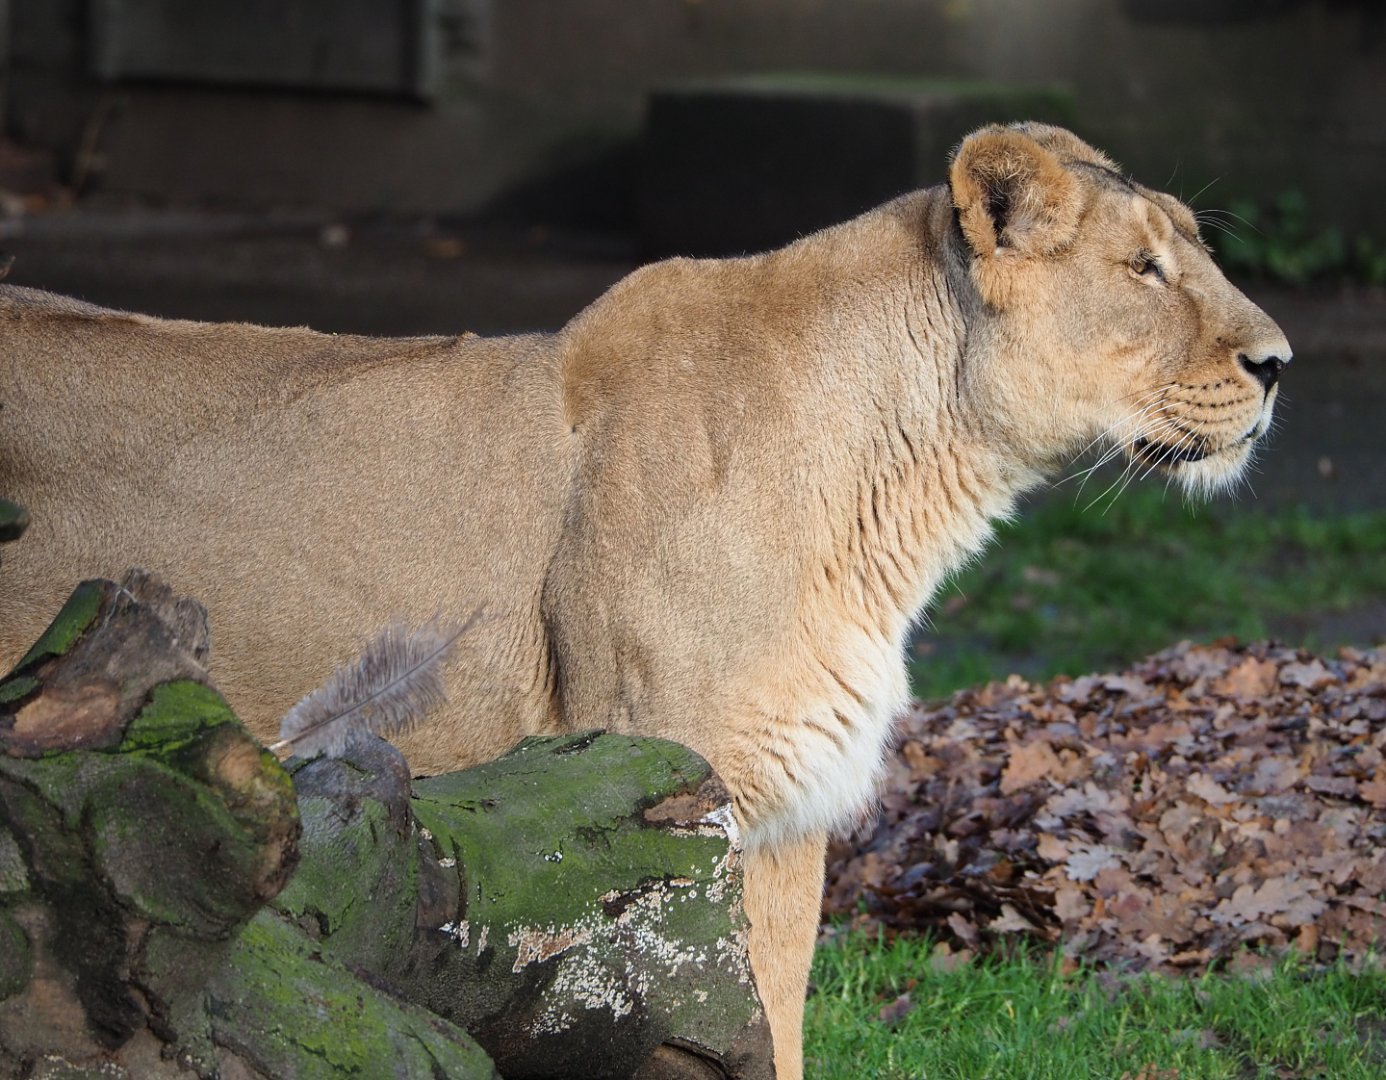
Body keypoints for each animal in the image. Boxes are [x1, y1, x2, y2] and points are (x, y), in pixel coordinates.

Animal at [0, 123, 1288, 1078]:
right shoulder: (645, 790)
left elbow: (781, 1031)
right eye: (1144, 271)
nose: (1279, 365)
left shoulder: (786, 817)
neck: (908, 487)